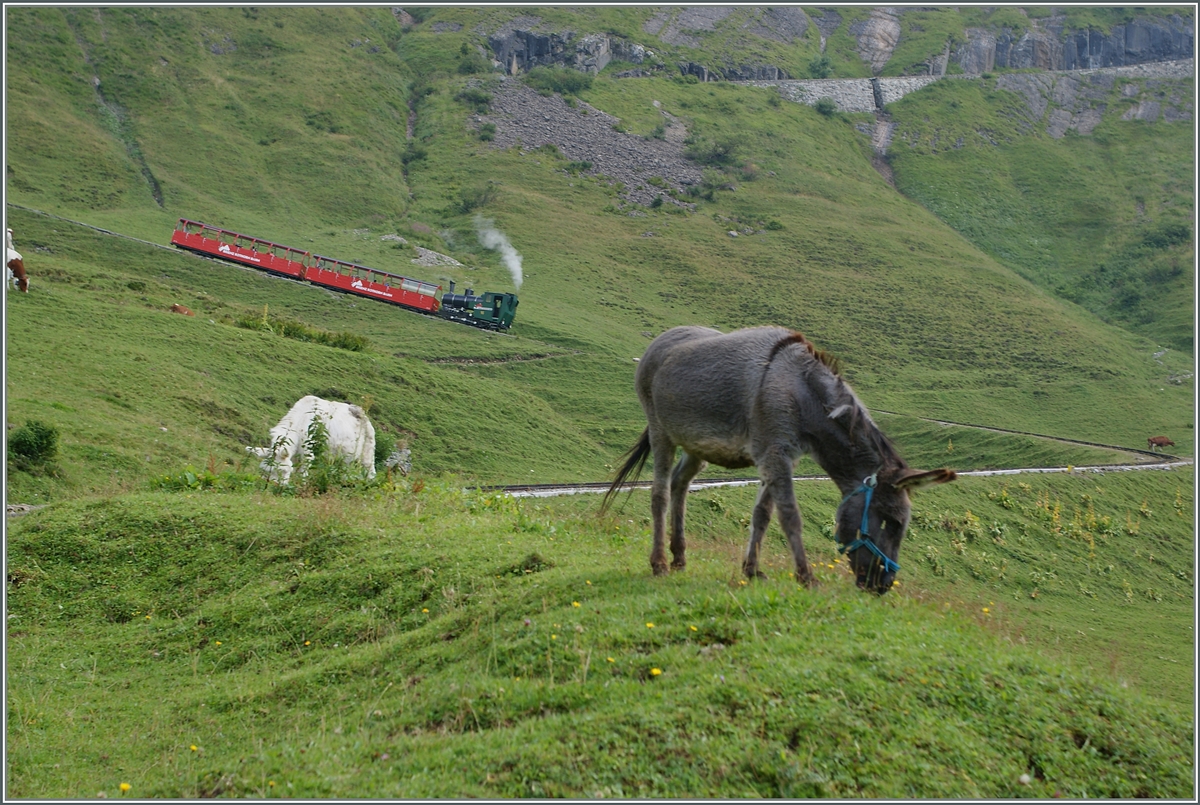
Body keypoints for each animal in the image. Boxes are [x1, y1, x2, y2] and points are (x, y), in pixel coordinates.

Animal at [244, 395, 372, 484]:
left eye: (284, 472)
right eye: (263, 470)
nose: (271, 485)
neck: (300, 421)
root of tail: (360, 411)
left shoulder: (308, 452)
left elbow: (303, 472)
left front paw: (302, 485)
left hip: (367, 452)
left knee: (370, 472)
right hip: (344, 458)